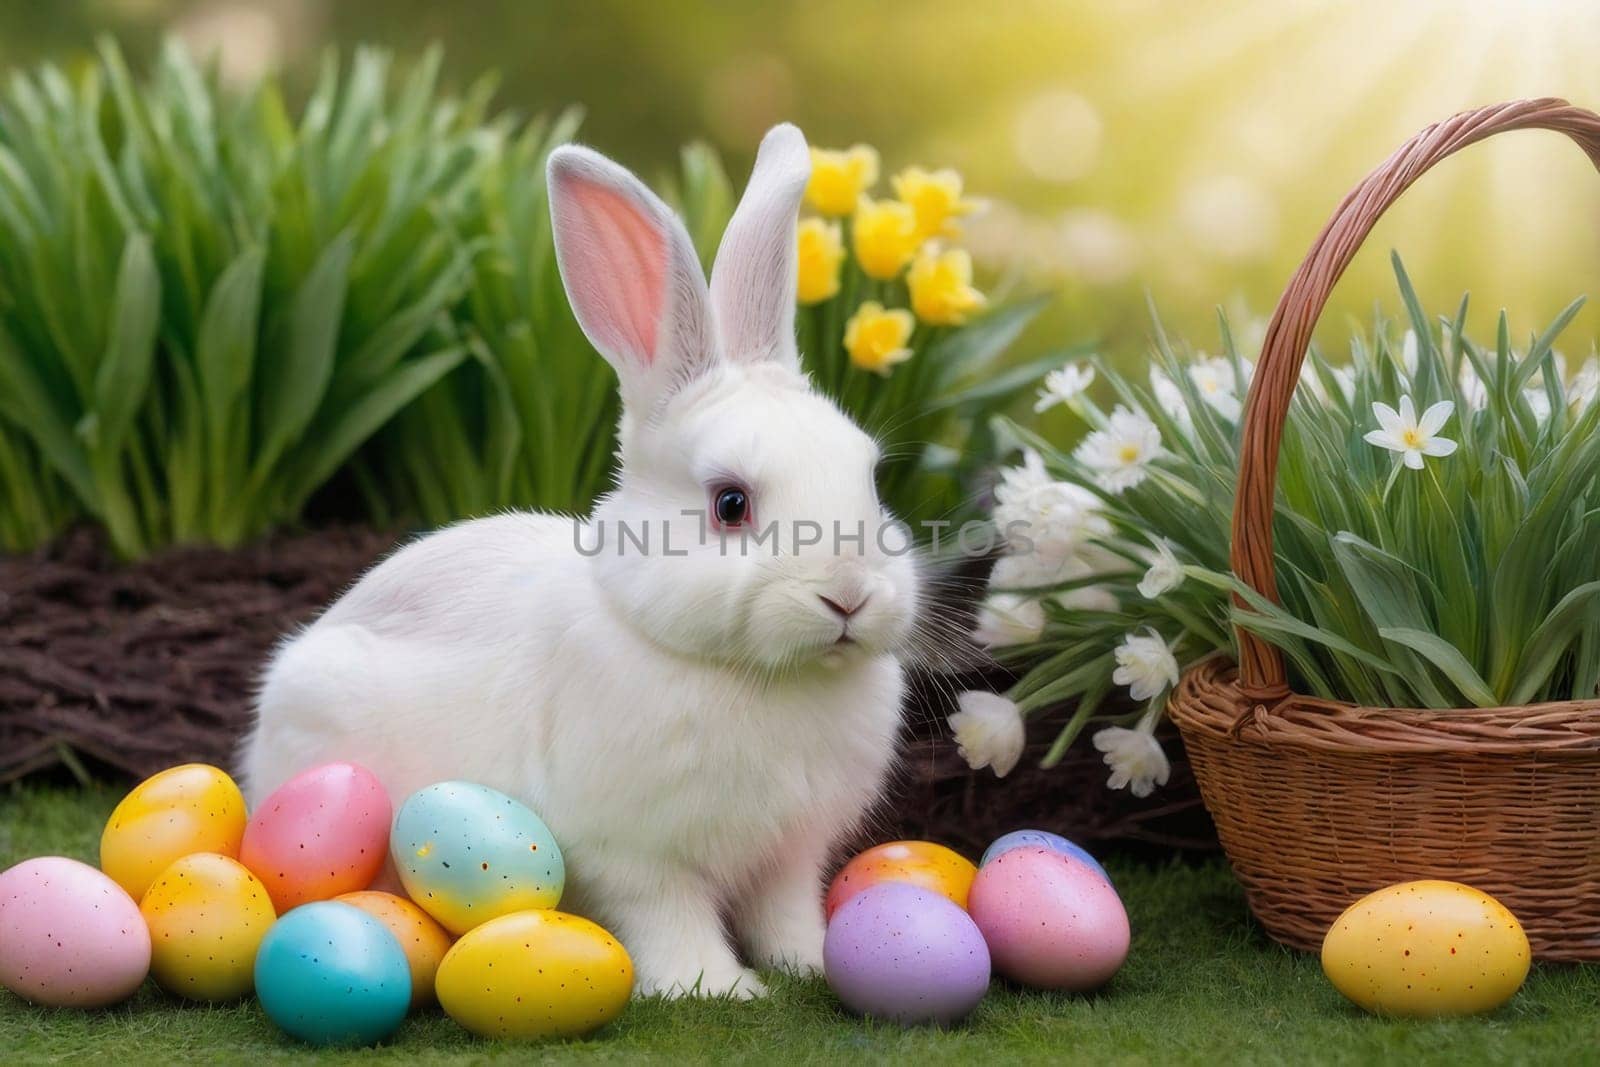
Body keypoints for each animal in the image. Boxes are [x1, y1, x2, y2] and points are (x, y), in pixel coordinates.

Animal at [236, 125, 921, 1004]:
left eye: (870, 476)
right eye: (731, 502)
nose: (849, 595)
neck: (754, 675)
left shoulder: (790, 853)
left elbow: (786, 910)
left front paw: (811, 962)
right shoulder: (636, 855)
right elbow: (669, 917)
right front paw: (714, 987)